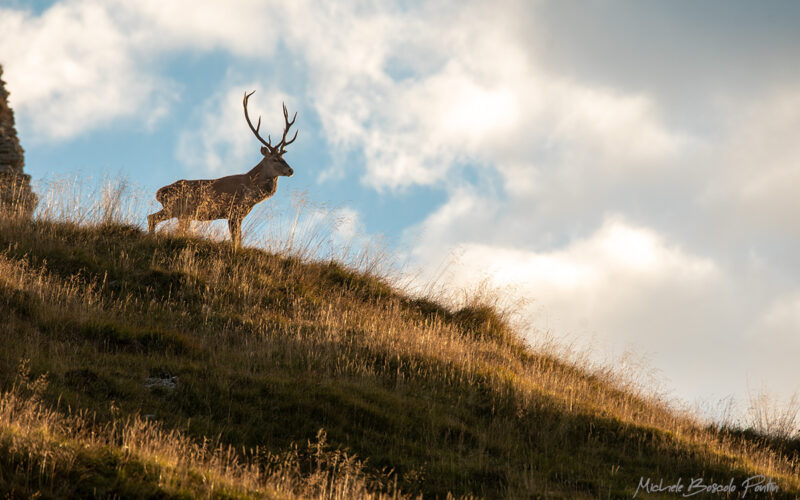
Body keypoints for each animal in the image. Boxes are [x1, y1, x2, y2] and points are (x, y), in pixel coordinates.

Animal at [147, 90, 297, 247]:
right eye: (274, 159)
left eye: (284, 157)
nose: (290, 170)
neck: (250, 189)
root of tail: (159, 193)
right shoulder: (233, 211)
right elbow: (236, 240)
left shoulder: (239, 214)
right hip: (176, 207)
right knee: (151, 217)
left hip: (182, 214)